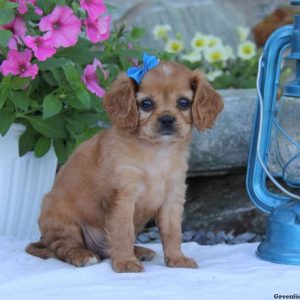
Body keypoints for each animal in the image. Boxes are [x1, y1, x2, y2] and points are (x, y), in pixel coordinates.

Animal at [26, 60, 223, 272]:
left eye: (184, 102)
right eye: (146, 104)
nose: (167, 119)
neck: (157, 152)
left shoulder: (173, 197)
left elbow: (173, 232)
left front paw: (177, 259)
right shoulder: (123, 196)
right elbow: (123, 231)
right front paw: (126, 262)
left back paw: (139, 251)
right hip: (63, 222)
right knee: (63, 247)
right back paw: (83, 255)